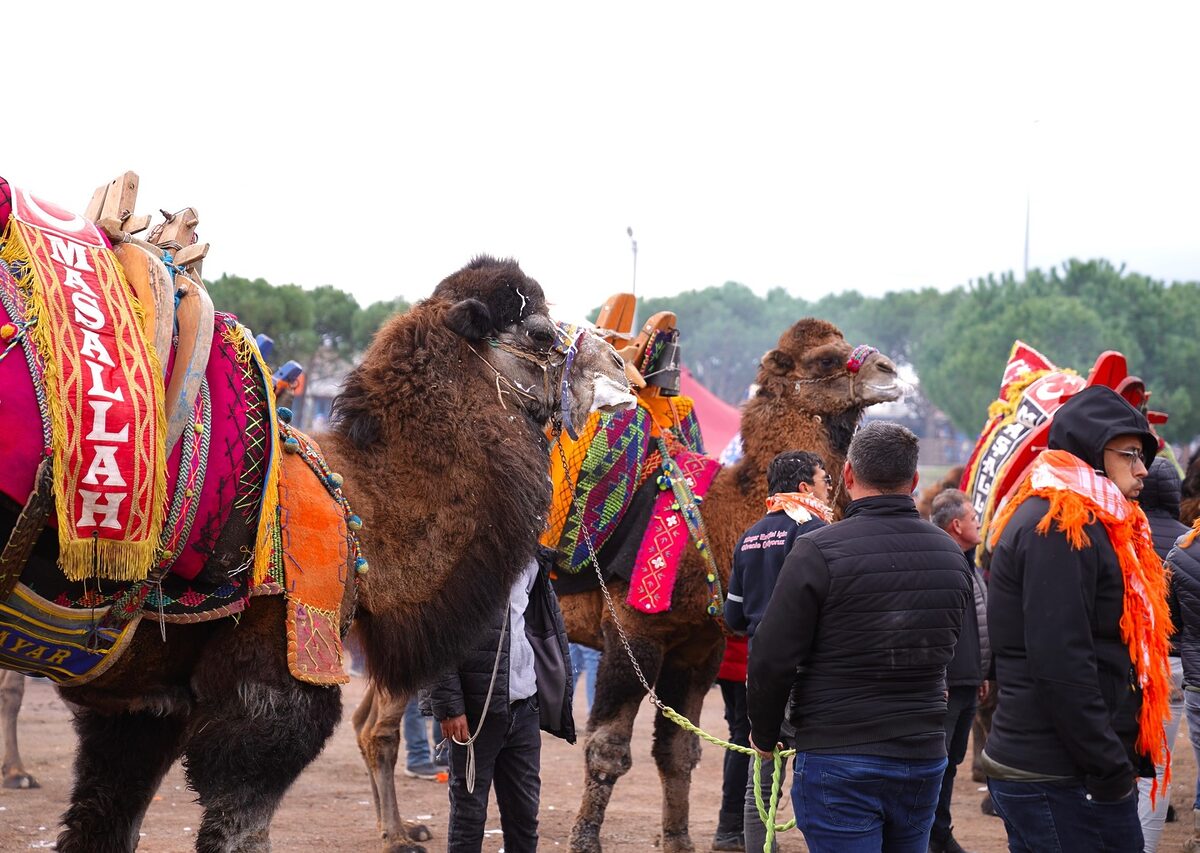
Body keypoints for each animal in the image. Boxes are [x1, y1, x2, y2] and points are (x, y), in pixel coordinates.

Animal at [0, 256, 633, 853]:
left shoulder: (139, 696)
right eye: (541, 332)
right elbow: (238, 829)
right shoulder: (278, 678)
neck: (360, 508)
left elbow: (100, 823)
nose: (623, 370)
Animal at [556, 321, 897, 853]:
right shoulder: (632, 630)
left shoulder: (697, 647)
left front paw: (678, 841)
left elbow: (679, 752)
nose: (889, 371)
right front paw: (585, 840)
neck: (715, 520)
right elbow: (607, 749)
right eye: (824, 358)